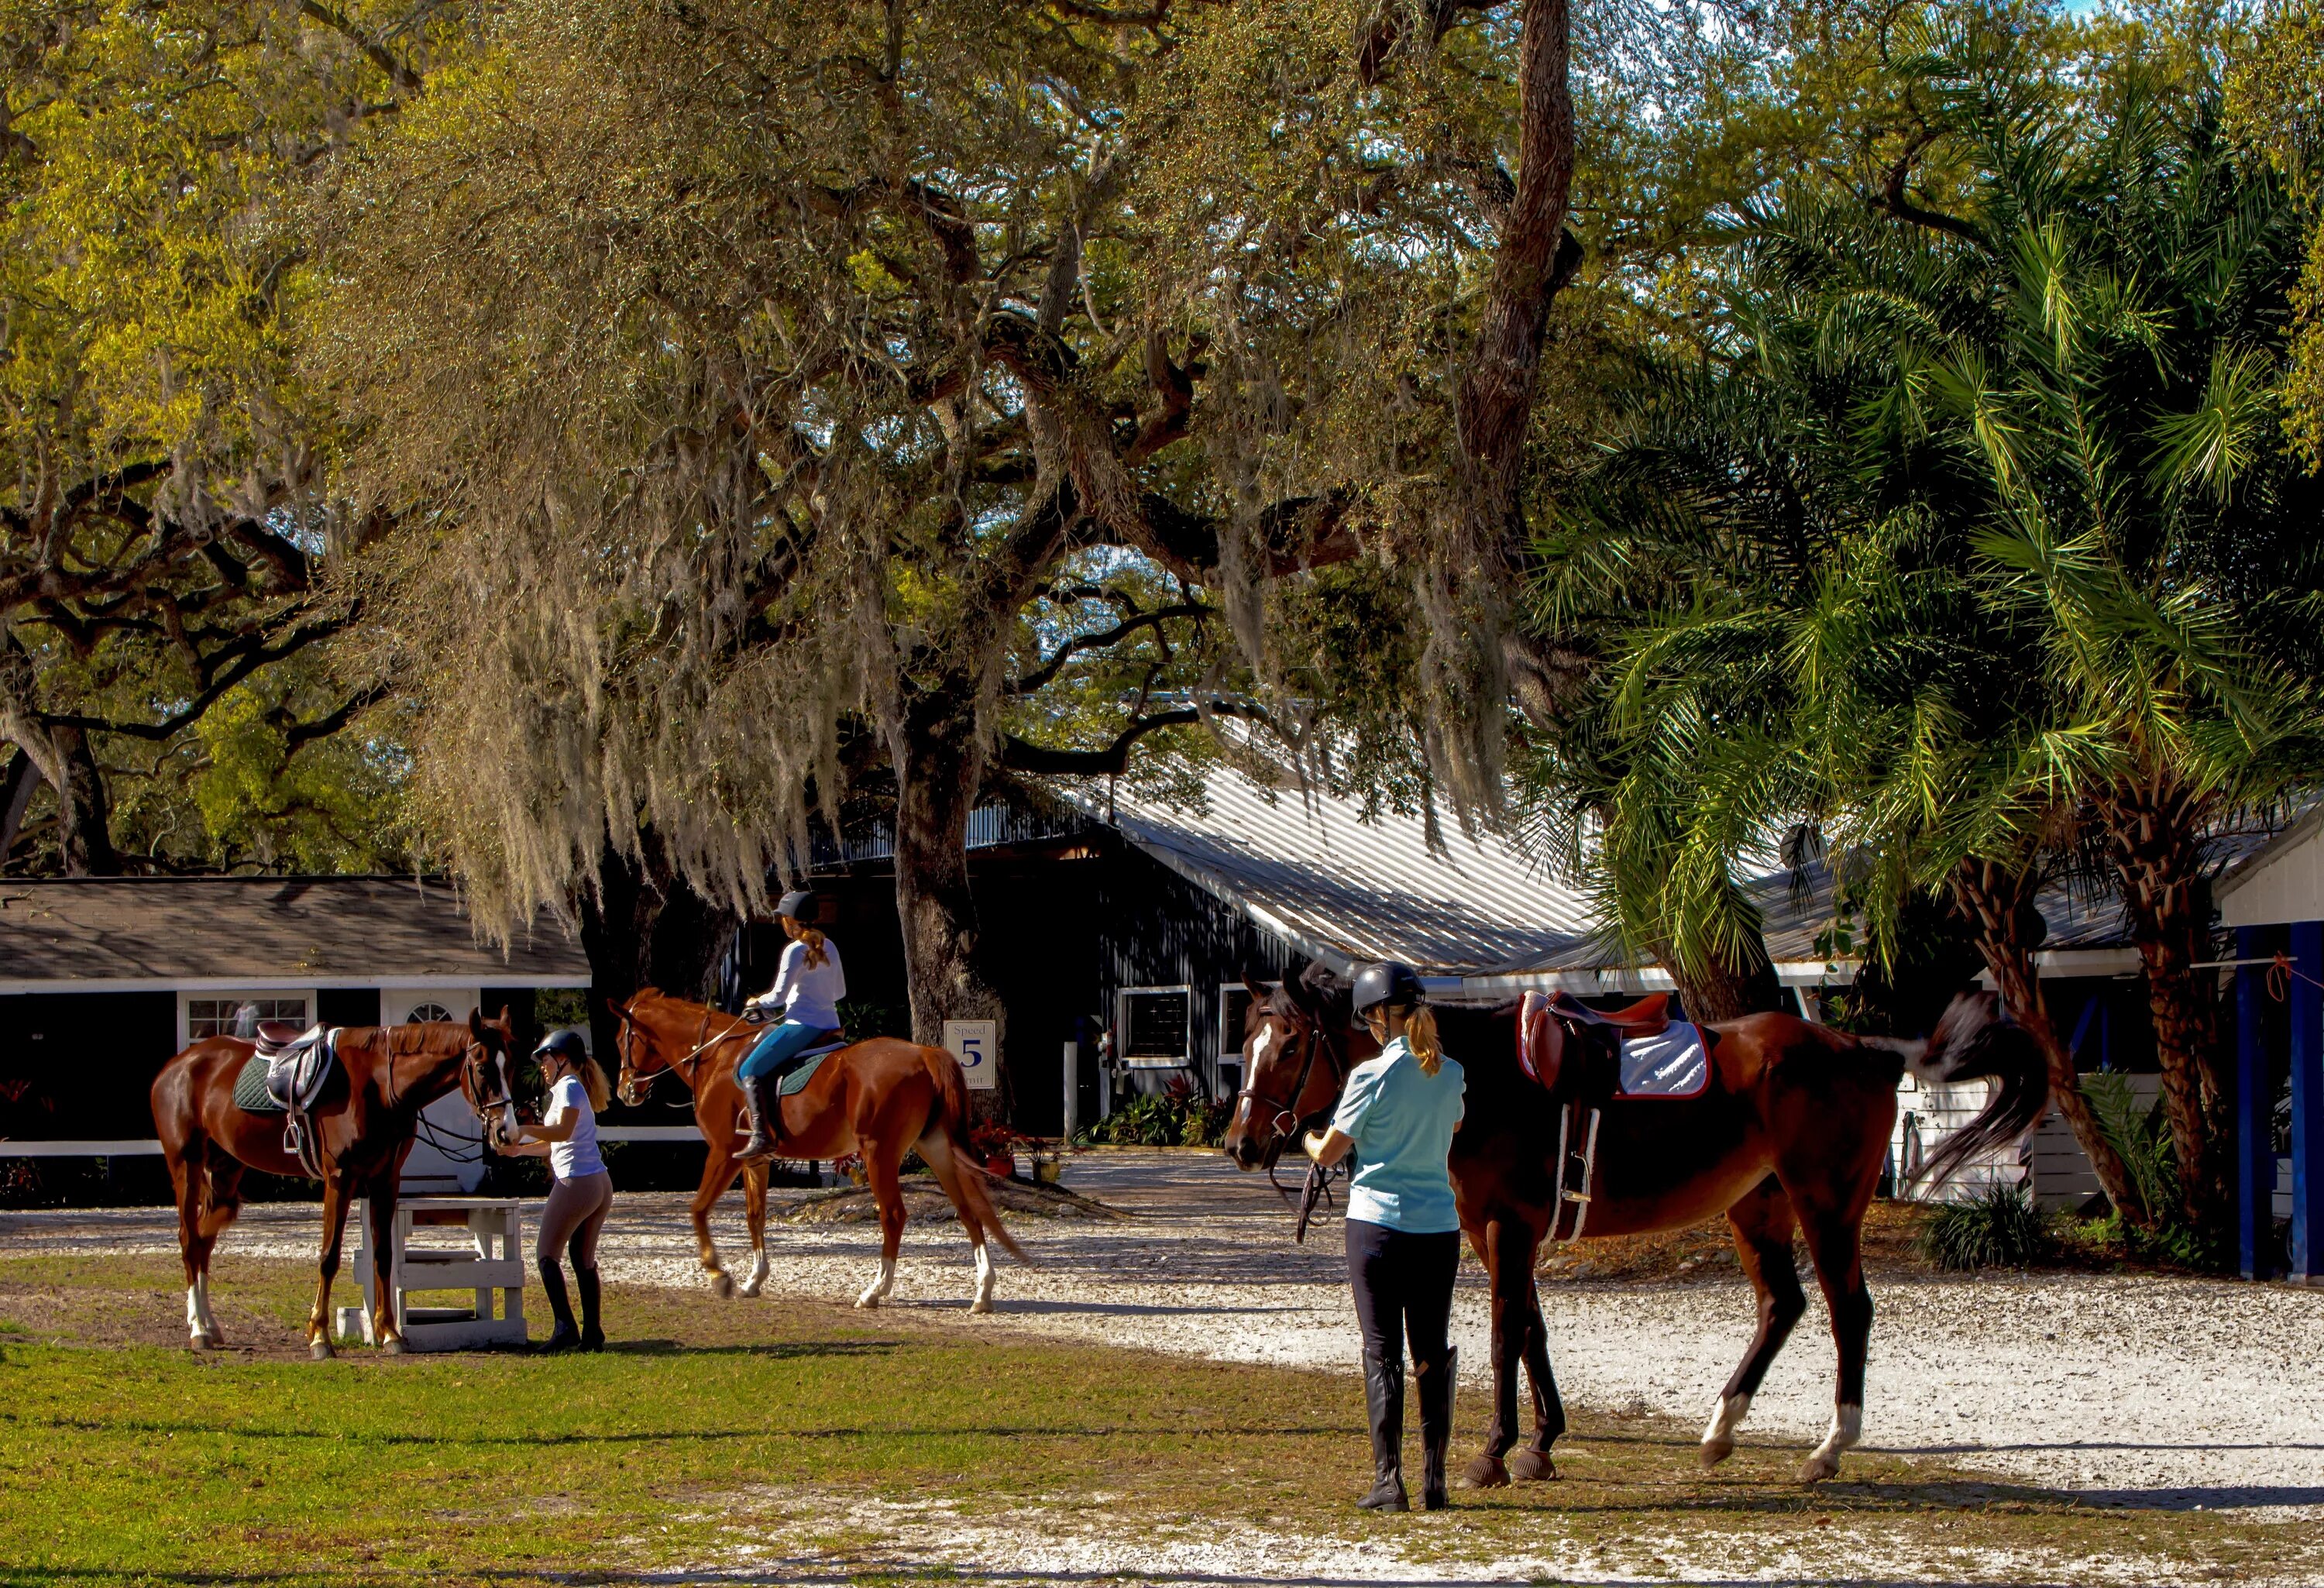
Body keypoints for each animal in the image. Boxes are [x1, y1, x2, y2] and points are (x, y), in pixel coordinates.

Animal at [151, 1013, 523, 1357]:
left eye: (511, 1066)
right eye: (482, 1067)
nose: (507, 1133)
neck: (378, 1085)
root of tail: (175, 1066)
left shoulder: (386, 1181)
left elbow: (384, 1256)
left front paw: (389, 1333)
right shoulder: (339, 1179)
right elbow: (329, 1257)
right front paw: (319, 1336)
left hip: (225, 1172)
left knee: (203, 1242)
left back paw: (208, 1324)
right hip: (186, 1166)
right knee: (189, 1240)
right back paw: (198, 1329)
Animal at [614, 995, 1023, 1320]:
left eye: (622, 1039)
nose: (625, 1091)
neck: (717, 1058)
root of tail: (924, 1052)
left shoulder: (723, 1152)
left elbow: (698, 1209)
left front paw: (720, 1276)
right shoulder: (755, 1160)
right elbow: (755, 1216)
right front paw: (753, 1281)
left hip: (878, 1153)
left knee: (894, 1215)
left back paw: (874, 1291)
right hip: (935, 1148)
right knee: (968, 1210)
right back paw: (983, 1292)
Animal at [1227, 967, 2045, 1487]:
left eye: (1292, 1046)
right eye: (1247, 1045)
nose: (1241, 1143)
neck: (1484, 1077)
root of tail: (1864, 1050)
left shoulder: (1506, 1228)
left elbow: (1504, 1334)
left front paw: (1495, 1451)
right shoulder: (1498, 1234)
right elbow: (1532, 1329)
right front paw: (1542, 1445)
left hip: (1827, 1205)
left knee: (1850, 1311)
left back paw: (1829, 1449)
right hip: (1758, 1207)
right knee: (1783, 1307)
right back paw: (1722, 1430)